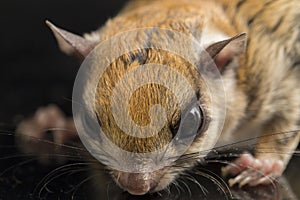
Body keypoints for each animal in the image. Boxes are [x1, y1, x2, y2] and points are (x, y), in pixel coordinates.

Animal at [17, 0, 300, 195]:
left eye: (192, 122)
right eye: (88, 121)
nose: (137, 186)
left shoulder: (279, 71)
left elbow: (287, 123)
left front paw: (261, 166)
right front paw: (55, 123)